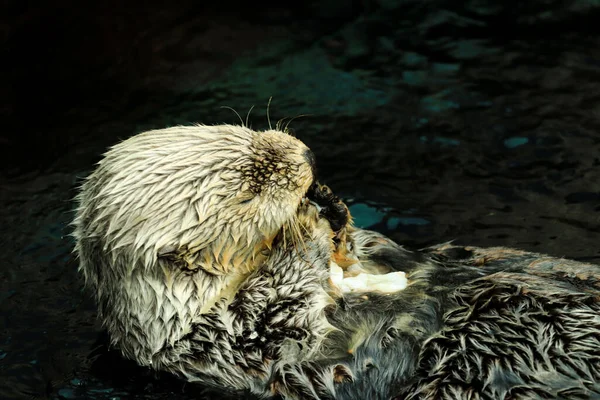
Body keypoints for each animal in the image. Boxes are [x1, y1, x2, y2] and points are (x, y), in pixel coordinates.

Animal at [74, 125, 600, 400]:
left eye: (239, 129)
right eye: (248, 191)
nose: (308, 156)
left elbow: (365, 248)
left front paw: (331, 207)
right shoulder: (220, 342)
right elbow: (282, 321)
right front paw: (306, 226)